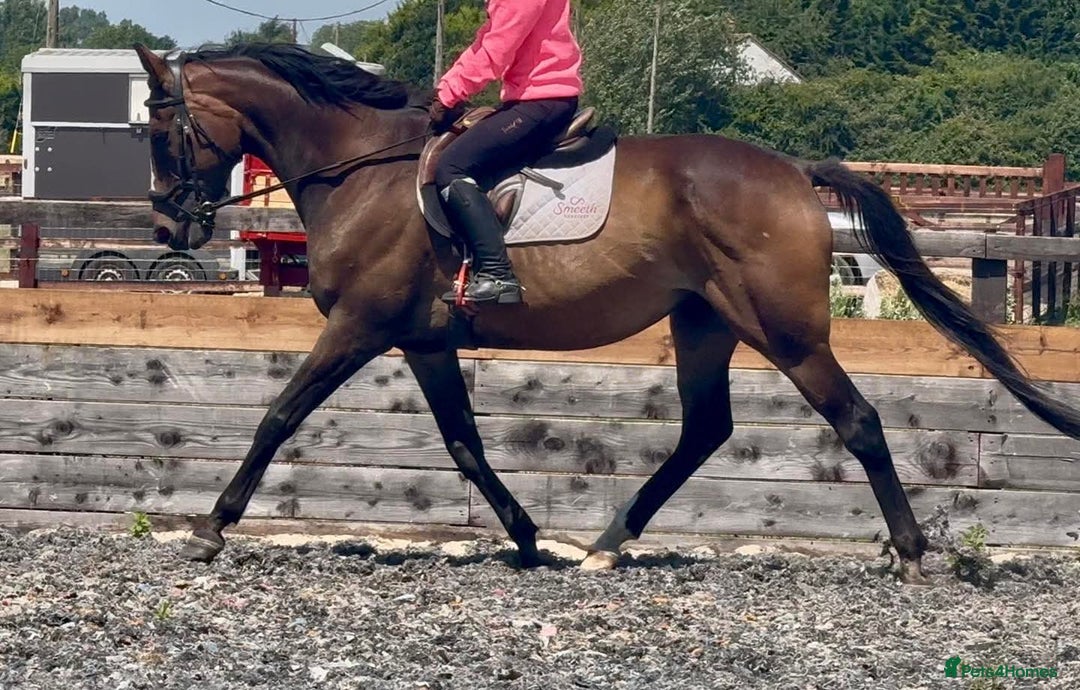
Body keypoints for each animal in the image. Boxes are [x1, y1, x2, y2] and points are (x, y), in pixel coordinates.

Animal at [133, 42, 1080, 585]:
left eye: (157, 129)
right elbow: (464, 445)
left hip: (783, 329)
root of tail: (793, 172)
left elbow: (278, 415)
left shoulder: (360, 328)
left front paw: (211, 527)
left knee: (858, 419)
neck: (363, 170)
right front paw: (525, 539)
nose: (169, 225)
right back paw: (607, 541)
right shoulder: (424, 341)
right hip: (704, 322)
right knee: (705, 428)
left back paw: (912, 553)